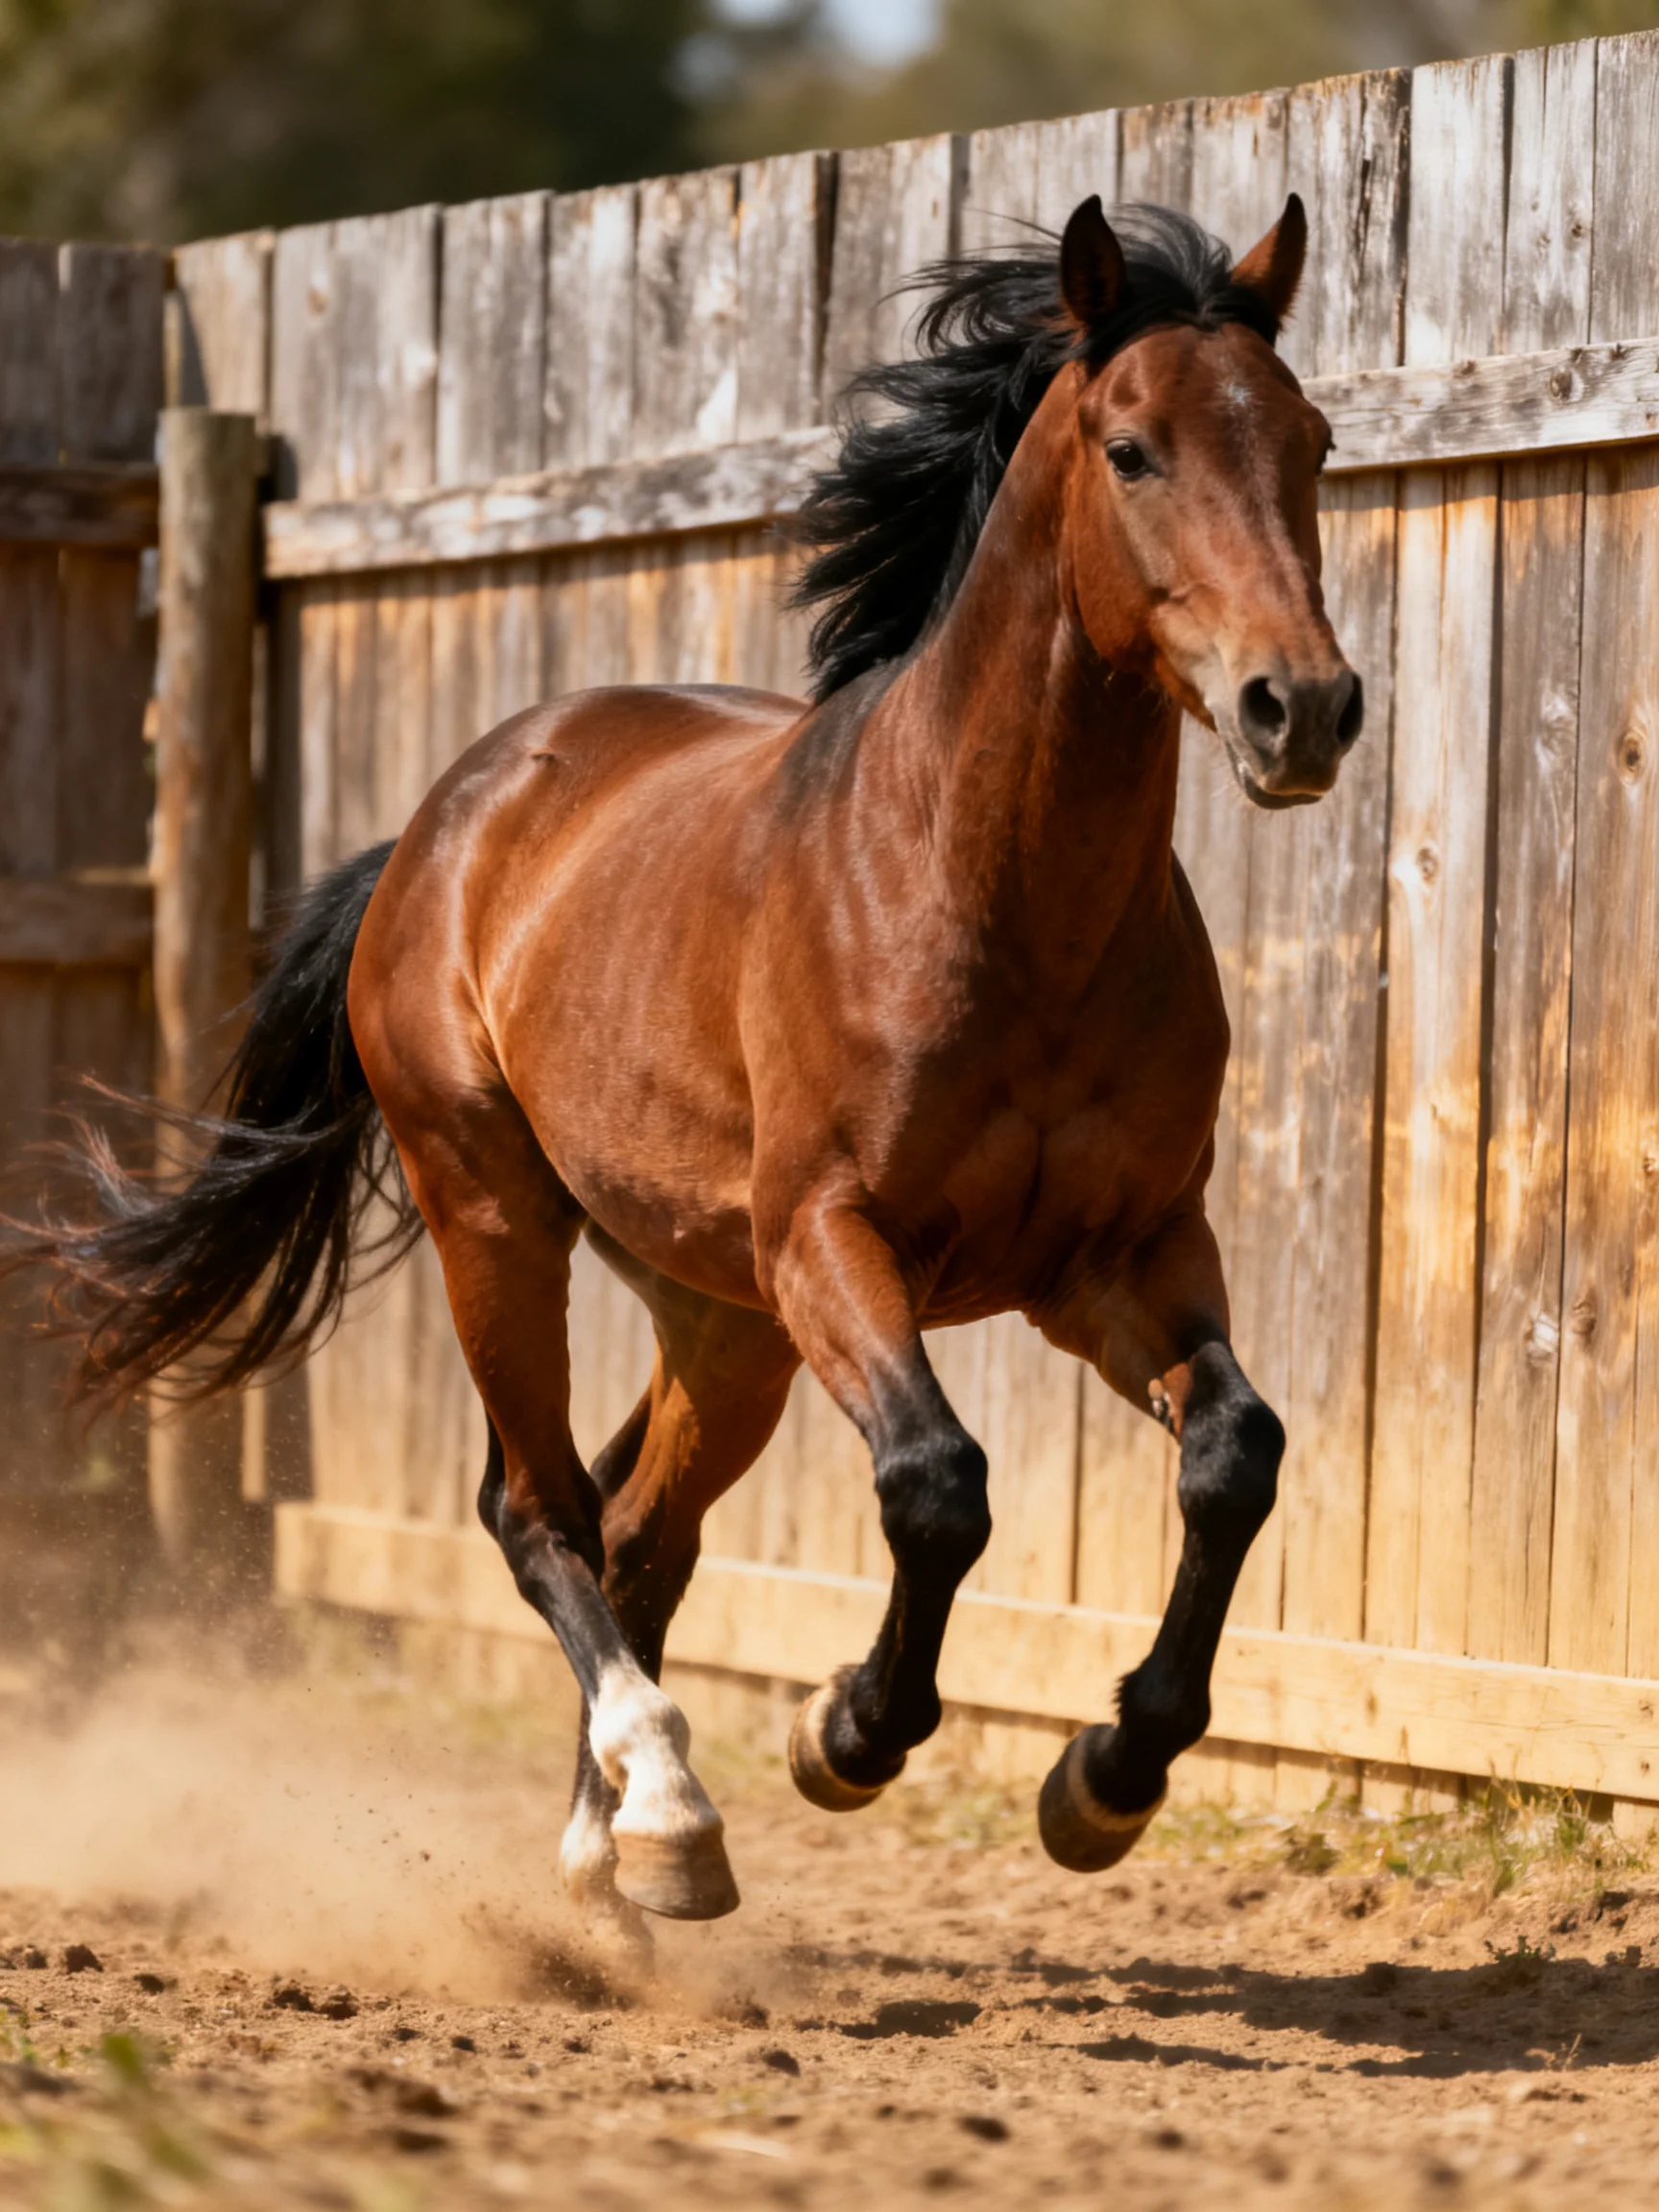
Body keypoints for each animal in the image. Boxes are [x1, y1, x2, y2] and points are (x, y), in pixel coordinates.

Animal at [5, 192, 1362, 1936]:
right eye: (1131, 449)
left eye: (1312, 441)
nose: (1299, 708)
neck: (993, 897)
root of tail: (444, 823)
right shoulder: (833, 1239)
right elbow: (938, 1480)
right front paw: (844, 1733)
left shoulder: (1120, 1260)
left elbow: (1233, 1457)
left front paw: (1104, 1781)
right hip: (505, 1224)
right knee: (537, 1510)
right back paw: (663, 1802)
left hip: (724, 1321)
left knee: (637, 1526)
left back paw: (617, 1848)